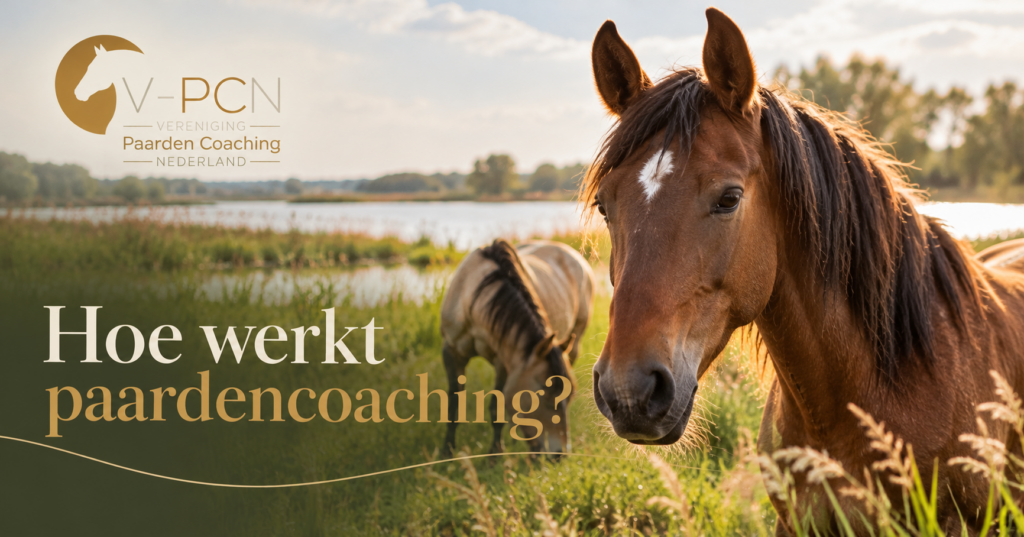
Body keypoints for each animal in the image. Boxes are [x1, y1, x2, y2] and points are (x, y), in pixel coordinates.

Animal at [439, 239, 595, 457]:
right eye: (543, 395)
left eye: (570, 395)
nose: (560, 455)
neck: (471, 298)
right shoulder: (451, 352)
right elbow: (453, 405)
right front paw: (447, 450)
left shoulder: (504, 362)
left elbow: (496, 409)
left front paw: (495, 454)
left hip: (574, 343)